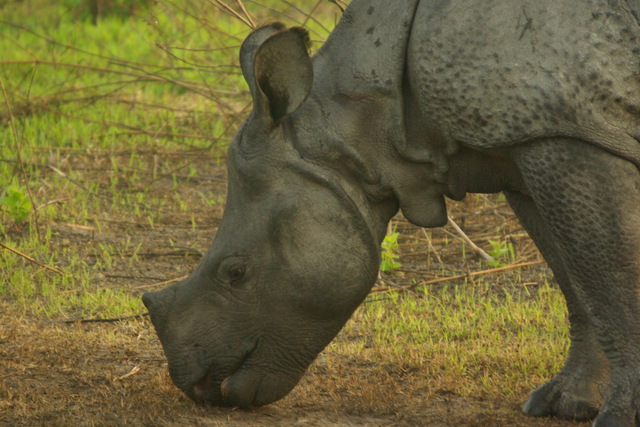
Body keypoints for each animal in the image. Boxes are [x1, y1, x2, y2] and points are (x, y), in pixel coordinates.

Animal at [142, 0, 640, 424]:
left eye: (236, 272)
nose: (194, 385)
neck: (361, 128)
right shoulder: (523, 136)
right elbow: (575, 280)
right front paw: (565, 403)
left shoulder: (563, 131)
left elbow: (610, 278)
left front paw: (618, 418)